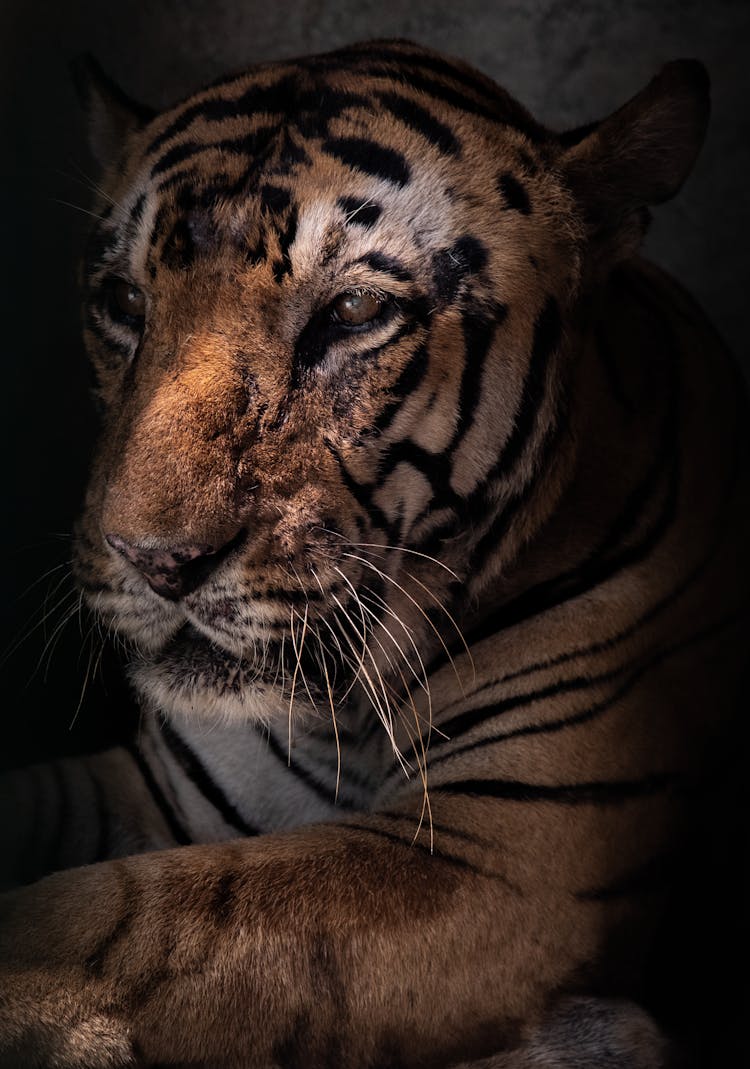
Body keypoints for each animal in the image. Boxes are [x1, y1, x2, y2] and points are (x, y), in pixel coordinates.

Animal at [0, 37, 747, 1064]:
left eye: (351, 311)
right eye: (122, 300)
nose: (154, 560)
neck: (340, 710)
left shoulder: (505, 850)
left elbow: (123, 921)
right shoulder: (155, 787)